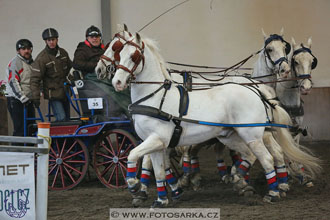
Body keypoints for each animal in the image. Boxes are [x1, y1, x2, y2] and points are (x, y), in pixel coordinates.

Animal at [96, 30, 320, 206]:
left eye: (133, 56)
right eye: (119, 52)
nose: (116, 81)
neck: (155, 95)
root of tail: (256, 90)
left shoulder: (157, 139)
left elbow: (132, 156)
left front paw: (134, 186)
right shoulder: (157, 144)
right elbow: (158, 170)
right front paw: (161, 199)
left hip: (252, 135)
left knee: (266, 158)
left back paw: (272, 192)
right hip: (232, 136)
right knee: (256, 155)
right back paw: (247, 181)